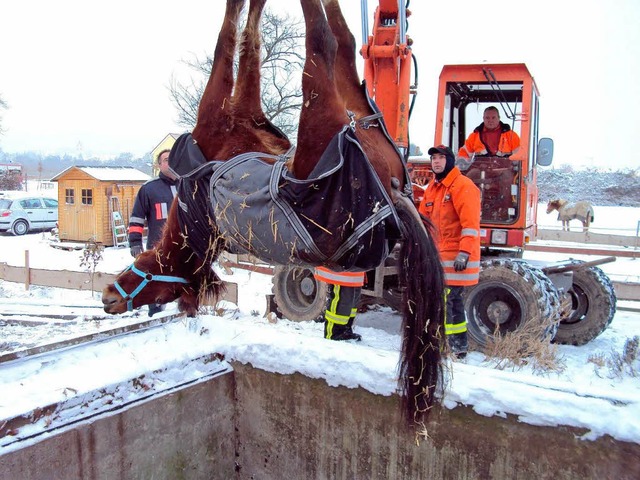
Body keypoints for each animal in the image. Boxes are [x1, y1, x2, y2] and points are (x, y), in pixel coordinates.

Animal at [101, 0, 444, 424]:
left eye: (152, 279)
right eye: (162, 295)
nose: (109, 301)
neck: (193, 223)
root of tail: (396, 195)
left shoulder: (218, 115)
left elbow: (235, 47)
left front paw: (250, 6)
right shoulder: (229, 114)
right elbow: (243, 48)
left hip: (327, 110)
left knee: (329, 41)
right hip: (341, 115)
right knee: (335, 43)